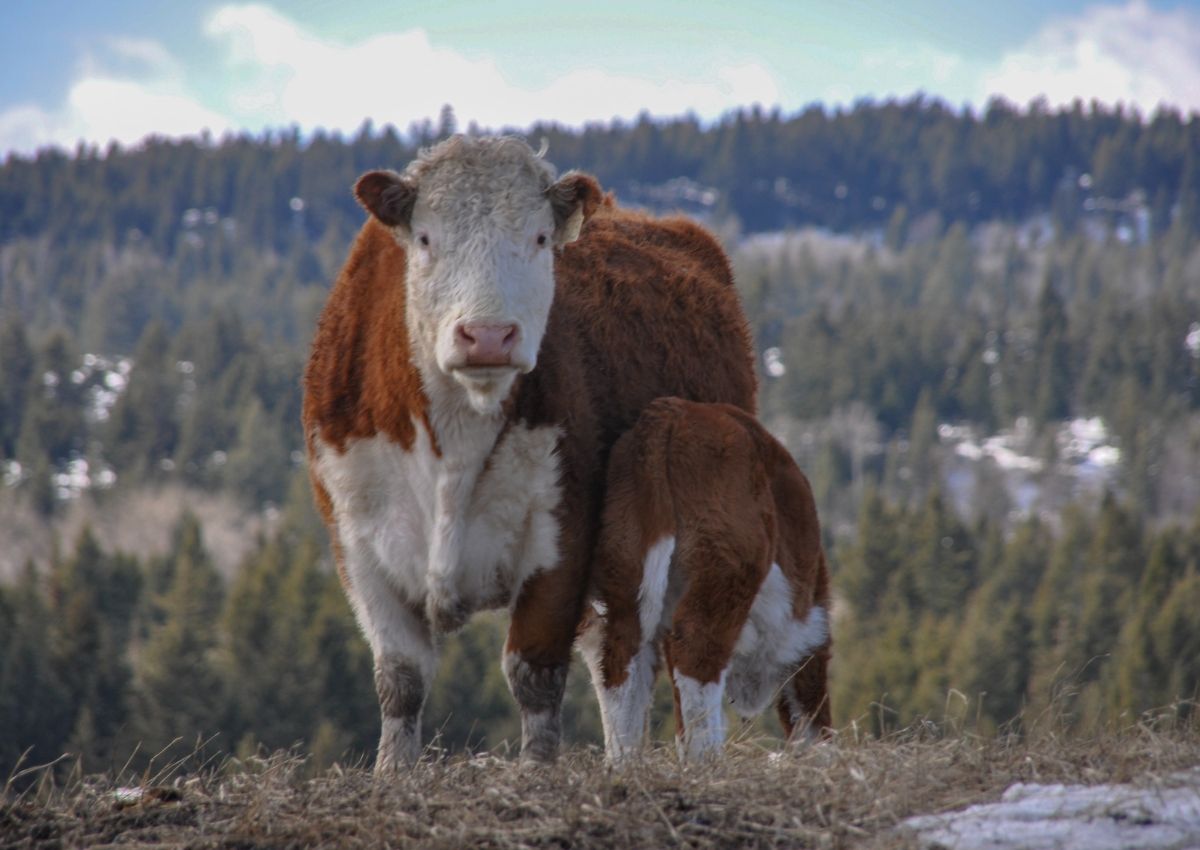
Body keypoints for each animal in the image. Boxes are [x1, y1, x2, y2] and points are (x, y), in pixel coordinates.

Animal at [302, 135, 756, 770]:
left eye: (540, 239)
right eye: (426, 238)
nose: (488, 335)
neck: (453, 444)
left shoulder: (561, 534)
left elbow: (534, 673)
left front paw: (538, 769)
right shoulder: (357, 544)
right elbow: (401, 679)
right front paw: (392, 772)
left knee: (631, 659)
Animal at [578, 397, 831, 761]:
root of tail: (671, 413)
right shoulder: (809, 635)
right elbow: (810, 711)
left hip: (625, 566)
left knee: (620, 662)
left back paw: (624, 763)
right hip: (724, 575)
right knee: (697, 654)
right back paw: (706, 760)